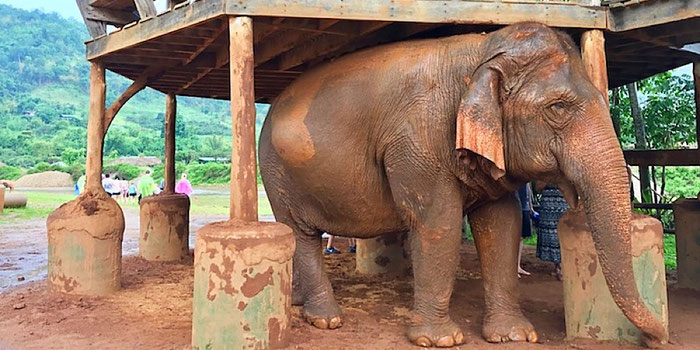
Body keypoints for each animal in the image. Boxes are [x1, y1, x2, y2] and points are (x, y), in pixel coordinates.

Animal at [258, 21, 668, 348]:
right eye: (558, 108)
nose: (658, 339)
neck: (481, 53)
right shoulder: (418, 139)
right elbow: (439, 220)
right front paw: (440, 340)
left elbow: (501, 222)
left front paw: (514, 335)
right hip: (277, 172)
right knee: (301, 233)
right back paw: (326, 318)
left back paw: (298, 302)